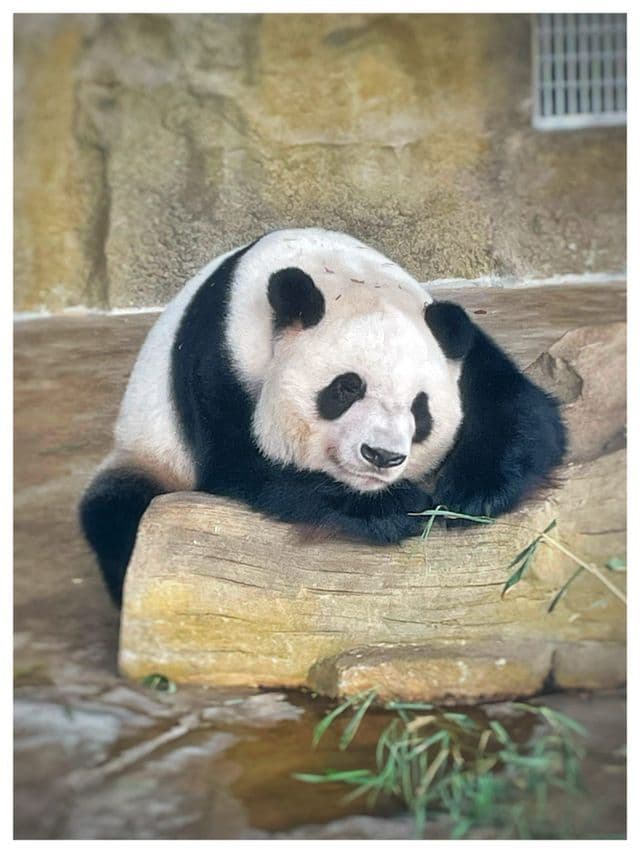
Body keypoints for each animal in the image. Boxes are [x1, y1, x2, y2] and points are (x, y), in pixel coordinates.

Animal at [80, 228, 566, 605]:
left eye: (420, 408)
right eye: (347, 388)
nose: (382, 456)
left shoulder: (458, 345)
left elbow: (521, 407)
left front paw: (474, 492)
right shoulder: (216, 361)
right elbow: (243, 465)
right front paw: (391, 509)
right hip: (147, 451)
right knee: (116, 514)